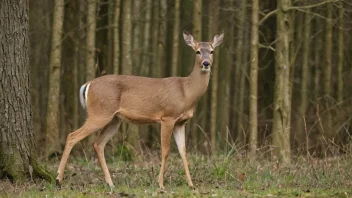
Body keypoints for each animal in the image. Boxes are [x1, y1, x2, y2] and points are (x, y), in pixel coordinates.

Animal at [56, 30, 224, 190]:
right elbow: (166, 150)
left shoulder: (180, 122)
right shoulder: (168, 117)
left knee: (98, 144)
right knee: (72, 136)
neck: (186, 92)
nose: (206, 63)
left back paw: (110, 183)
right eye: (197, 51)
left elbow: (183, 152)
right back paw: (58, 180)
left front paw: (191, 185)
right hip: (99, 113)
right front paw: (160, 184)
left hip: (114, 119)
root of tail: (88, 84)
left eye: (211, 51)